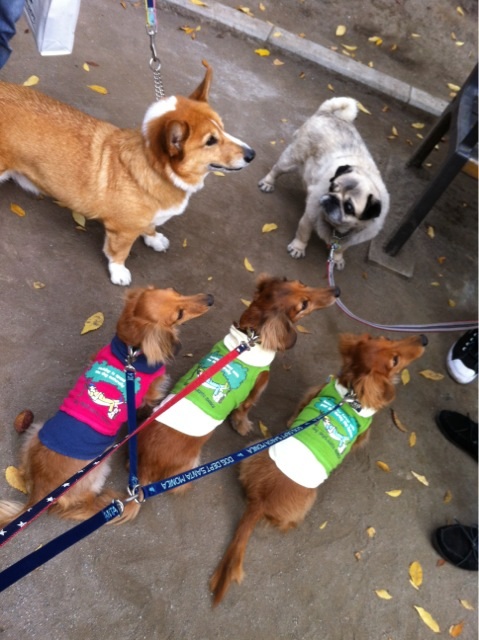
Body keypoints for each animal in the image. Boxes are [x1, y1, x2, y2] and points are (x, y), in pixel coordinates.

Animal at [0, 62, 255, 285]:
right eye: (211, 141)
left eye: (223, 127)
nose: (252, 154)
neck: (156, 170)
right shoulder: (123, 230)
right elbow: (119, 252)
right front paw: (119, 273)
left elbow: (150, 227)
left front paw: (154, 238)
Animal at [0, 286, 213, 526]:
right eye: (179, 314)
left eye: (175, 292)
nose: (210, 299)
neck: (131, 350)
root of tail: (41, 494)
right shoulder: (152, 392)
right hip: (100, 466)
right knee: (82, 506)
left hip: (35, 432)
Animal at [119, 275, 340, 521]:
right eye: (304, 305)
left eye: (302, 284)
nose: (337, 291)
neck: (250, 337)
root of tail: (145, 472)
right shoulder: (259, 386)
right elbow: (245, 408)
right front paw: (242, 425)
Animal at [210, 333, 427, 605]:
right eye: (395, 360)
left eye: (387, 338)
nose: (424, 338)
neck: (351, 393)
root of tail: (260, 499)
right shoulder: (362, 435)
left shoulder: (309, 396)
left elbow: (293, 416)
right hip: (310, 497)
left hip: (255, 448)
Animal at [258, 97, 389, 270]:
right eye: (332, 187)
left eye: (349, 207)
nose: (331, 198)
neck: (338, 229)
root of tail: (327, 113)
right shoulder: (309, 216)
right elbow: (303, 233)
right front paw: (298, 248)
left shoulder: (350, 239)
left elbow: (342, 248)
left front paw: (338, 259)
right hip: (291, 160)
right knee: (276, 169)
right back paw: (268, 182)